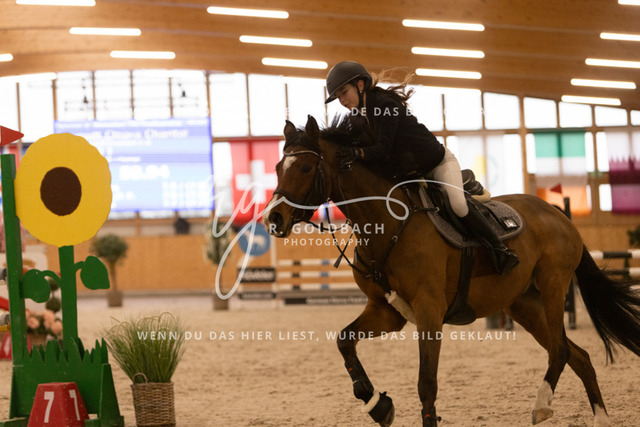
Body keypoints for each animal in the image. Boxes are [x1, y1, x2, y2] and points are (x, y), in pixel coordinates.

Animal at [263, 115, 640, 427]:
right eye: (279, 166)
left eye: (306, 168)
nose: (273, 218)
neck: (389, 224)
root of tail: (558, 213)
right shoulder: (386, 312)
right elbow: (344, 341)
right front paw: (378, 406)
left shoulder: (429, 310)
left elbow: (426, 384)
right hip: (524, 305)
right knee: (578, 355)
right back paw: (600, 419)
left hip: (553, 286)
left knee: (561, 351)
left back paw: (542, 405)